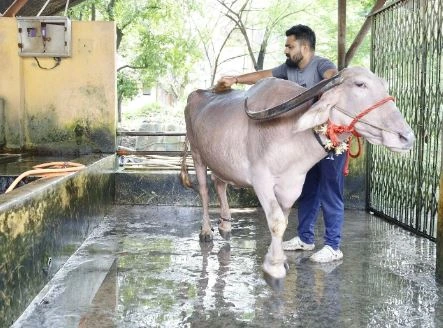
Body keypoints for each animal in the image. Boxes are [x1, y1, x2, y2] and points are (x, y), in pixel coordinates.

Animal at [180, 67, 416, 282]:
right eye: (360, 84)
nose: (407, 137)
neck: (291, 135)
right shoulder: (261, 180)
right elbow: (276, 221)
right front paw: (274, 266)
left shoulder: (292, 185)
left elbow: (283, 220)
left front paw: (276, 256)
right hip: (197, 154)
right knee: (204, 191)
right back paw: (206, 231)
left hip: (219, 161)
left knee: (219, 184)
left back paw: (225, 226)